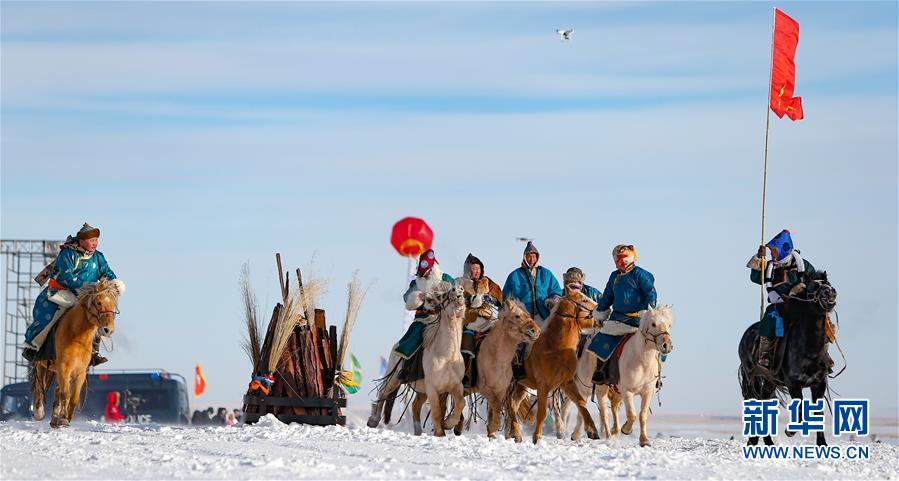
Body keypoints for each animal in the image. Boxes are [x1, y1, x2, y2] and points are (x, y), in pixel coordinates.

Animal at [31, 278, 123, 428]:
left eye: (114, 305)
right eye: (99, 302)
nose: (108, 330)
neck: (77, 338)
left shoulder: (80, 372)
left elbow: (73, 398)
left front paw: (65, 419)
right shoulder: (64, 368)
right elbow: (65, 394)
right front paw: (63, 419)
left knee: (56, 390)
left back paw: (54, 419)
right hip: (42, 364)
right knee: (40, 386)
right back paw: (39, 412)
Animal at [368, 280, 467, 436]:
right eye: (443, 295)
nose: (458, 290)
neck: (447, 356)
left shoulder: (455, 386)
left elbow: (460, 403)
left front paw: (448, 424)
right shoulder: (432, 388)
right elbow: (437, 412)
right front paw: (440, 433)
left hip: (421, 390)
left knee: (415, 405)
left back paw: (418, 431)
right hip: (394, 378)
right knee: (383, 392)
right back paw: (373, 419)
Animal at [507, 289, 600, 443]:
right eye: (584, 300)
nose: (607, 311)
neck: (554, 347)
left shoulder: (567, 383)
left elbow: (581, 403)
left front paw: (592, 431)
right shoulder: (543, 386)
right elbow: (542, 412)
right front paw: (536, 437)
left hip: (521, 387)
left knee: (513, 405)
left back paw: (516, 434)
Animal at [738, 270, 836, 446]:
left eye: (828, 283)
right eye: (813, 286)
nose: (830, 292)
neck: (809, 351)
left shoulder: (819, 384)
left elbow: (817, 413)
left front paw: (822, 444)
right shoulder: (794, 384)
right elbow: (800, 408)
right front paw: (790, 431)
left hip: (770, 381)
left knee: (764, 402)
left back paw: (768, 442)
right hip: (753, 378)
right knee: (756, 403)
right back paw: (754, 441)